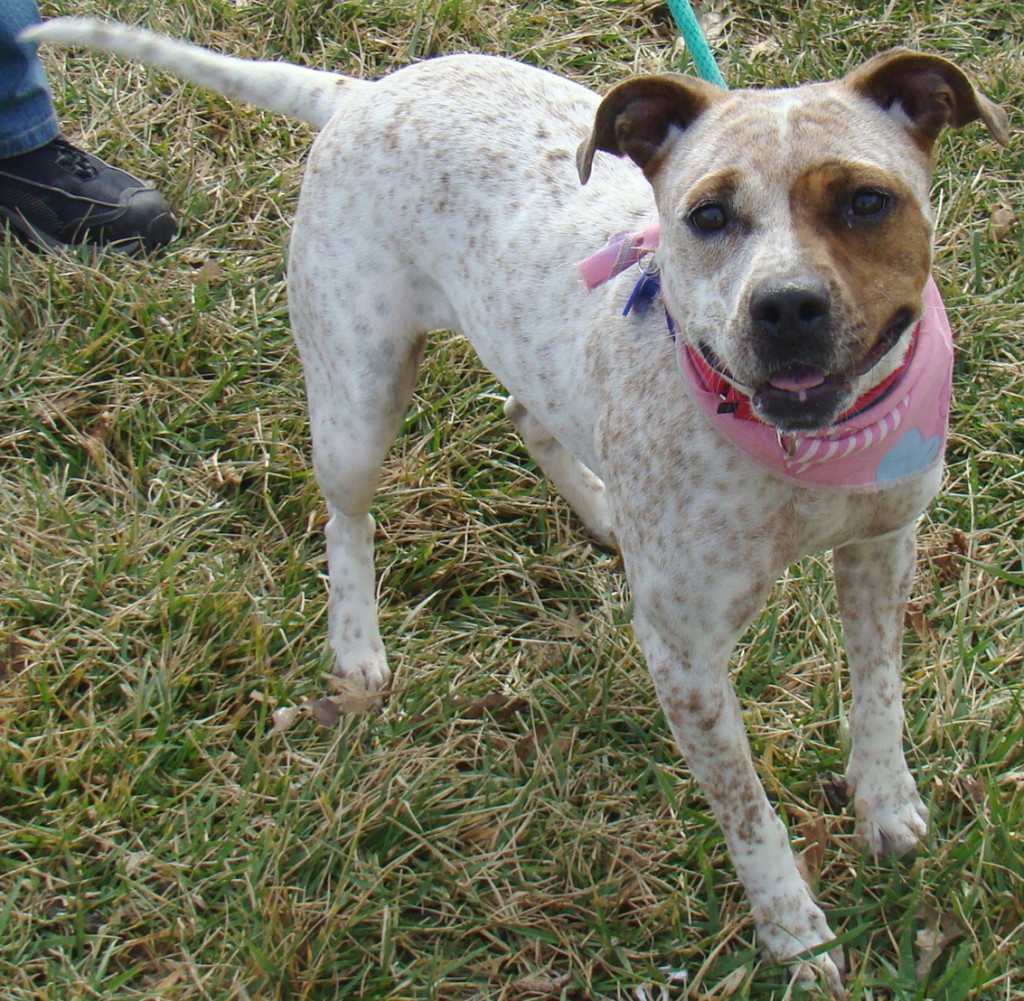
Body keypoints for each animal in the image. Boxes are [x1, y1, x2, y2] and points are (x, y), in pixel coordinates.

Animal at [25, 17, 1007, 990]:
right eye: (708, 217)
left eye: (867, 202)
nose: (786, 307)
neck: (807, 455)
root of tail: (361, 91)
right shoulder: (684, 655)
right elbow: (749, 811)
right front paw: (795, 932)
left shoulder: (884, 545)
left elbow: (879, 693)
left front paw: (885, 803)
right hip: (359, 400)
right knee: (347, 516)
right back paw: (357, 646)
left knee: (525, 412)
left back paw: (602, 509)